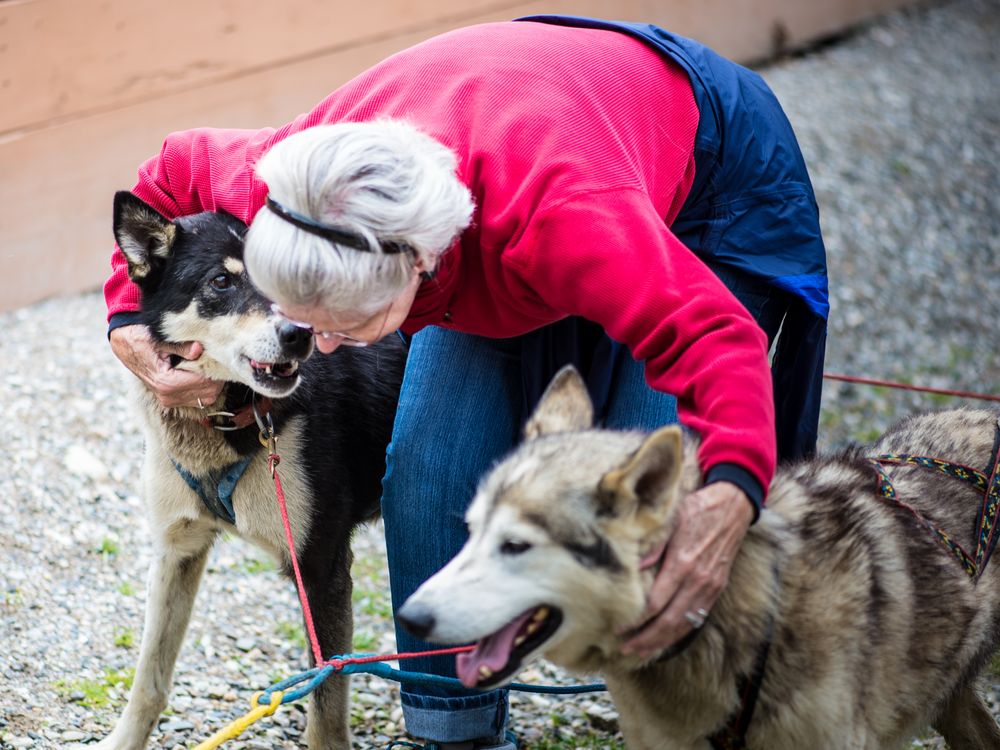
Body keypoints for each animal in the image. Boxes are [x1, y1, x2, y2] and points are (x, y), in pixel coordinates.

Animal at [96, 195, 402, 750]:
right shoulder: (177, 549)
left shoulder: (322, 570)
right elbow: (149, 676)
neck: (228, 417)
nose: (300, 334)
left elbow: (327, 709)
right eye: (222, 281)